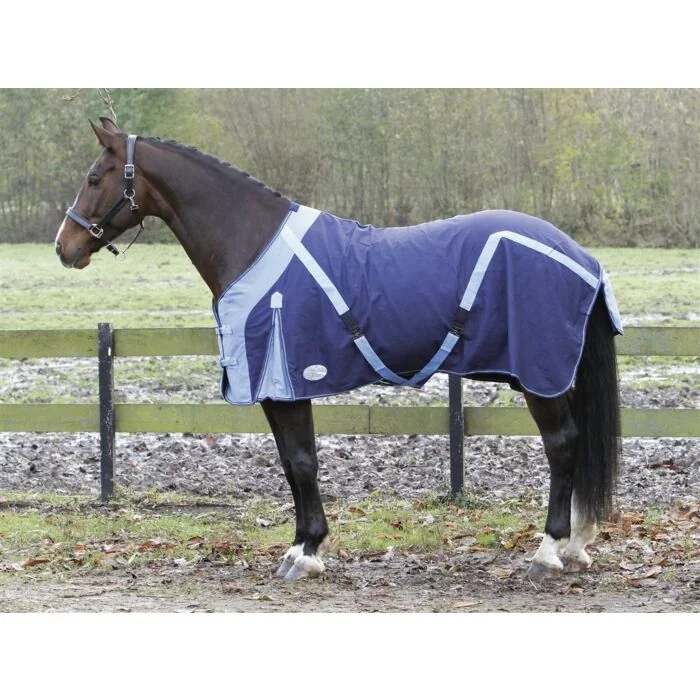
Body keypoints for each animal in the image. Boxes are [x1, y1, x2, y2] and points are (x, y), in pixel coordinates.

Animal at [55, 118, 622, 582]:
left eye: (94, 178)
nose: (64, 247)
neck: (253, 245)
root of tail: (582, 256)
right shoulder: (278, 389)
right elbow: (291, 463)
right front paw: (300, 547)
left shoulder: (285, 381)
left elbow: (303, 462)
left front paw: (306, 553)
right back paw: (576, 545)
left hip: (540, 376)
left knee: (563, 446)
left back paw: (548, 551)